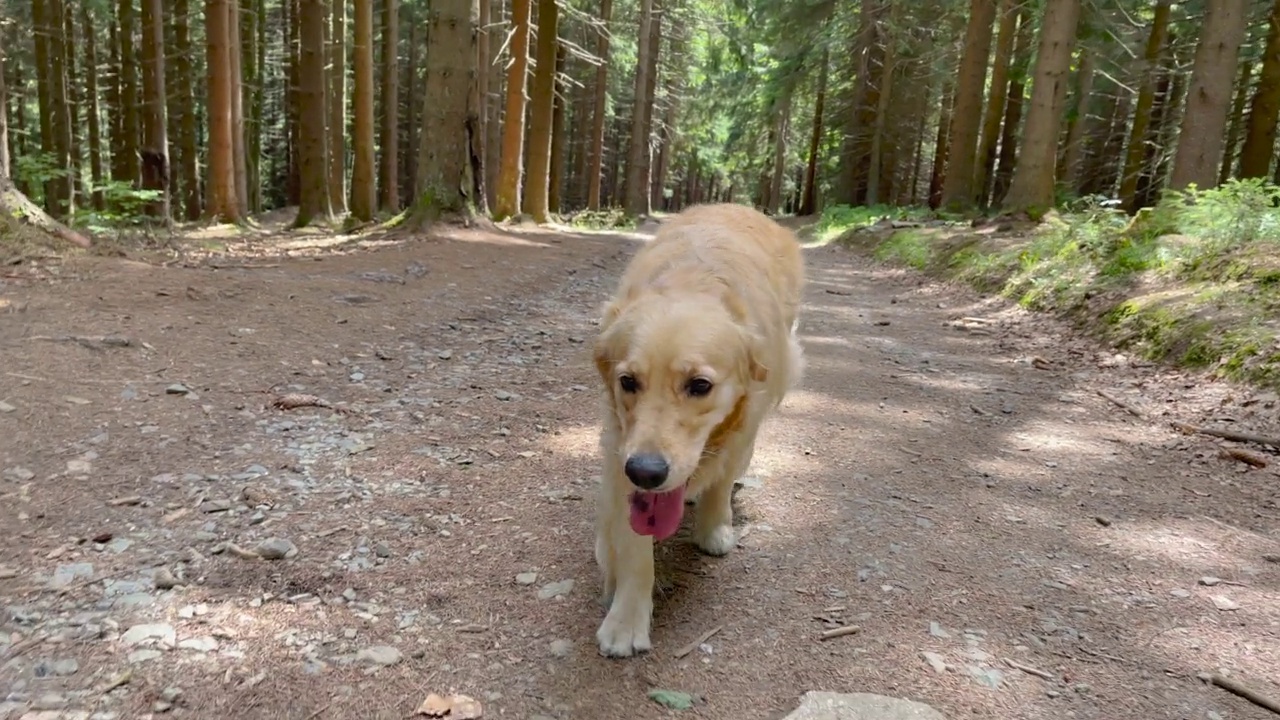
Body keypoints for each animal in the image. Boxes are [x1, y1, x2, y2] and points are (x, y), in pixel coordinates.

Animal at [586, 202, 798, 655]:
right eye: (628, 381)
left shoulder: (743, 423)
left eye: (700, 385)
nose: (647, 472)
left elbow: (720, 481)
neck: (691, 282)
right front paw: (626, 619)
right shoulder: (621, 444)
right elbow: (633, 544)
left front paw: (714, 529)